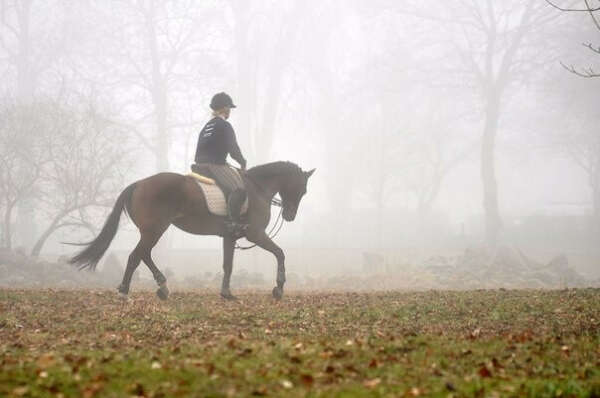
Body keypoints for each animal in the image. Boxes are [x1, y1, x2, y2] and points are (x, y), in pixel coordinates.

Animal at [69, 160, 314, 300]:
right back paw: (124, 291)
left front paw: (226, 294)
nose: (290, 215)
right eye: (302, 189)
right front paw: (279, 288)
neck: (257, 189)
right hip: (154, 230)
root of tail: (138, 184)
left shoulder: (229, 236)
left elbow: (228, 265)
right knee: (136, 256)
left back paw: (162, 287)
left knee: (144, 254)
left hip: (153, 231)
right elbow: (280, 253)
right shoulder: (255, 234)